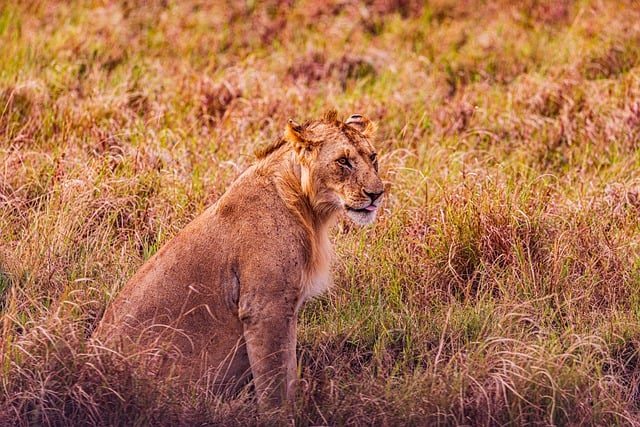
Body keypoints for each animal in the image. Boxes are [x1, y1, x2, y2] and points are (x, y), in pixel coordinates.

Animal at [92, 109, 382, 408]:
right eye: (343, 161)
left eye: (373, 158)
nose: (377, 194)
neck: (308, 209)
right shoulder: (266, 307)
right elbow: (277, 381)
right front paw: (285, 413)